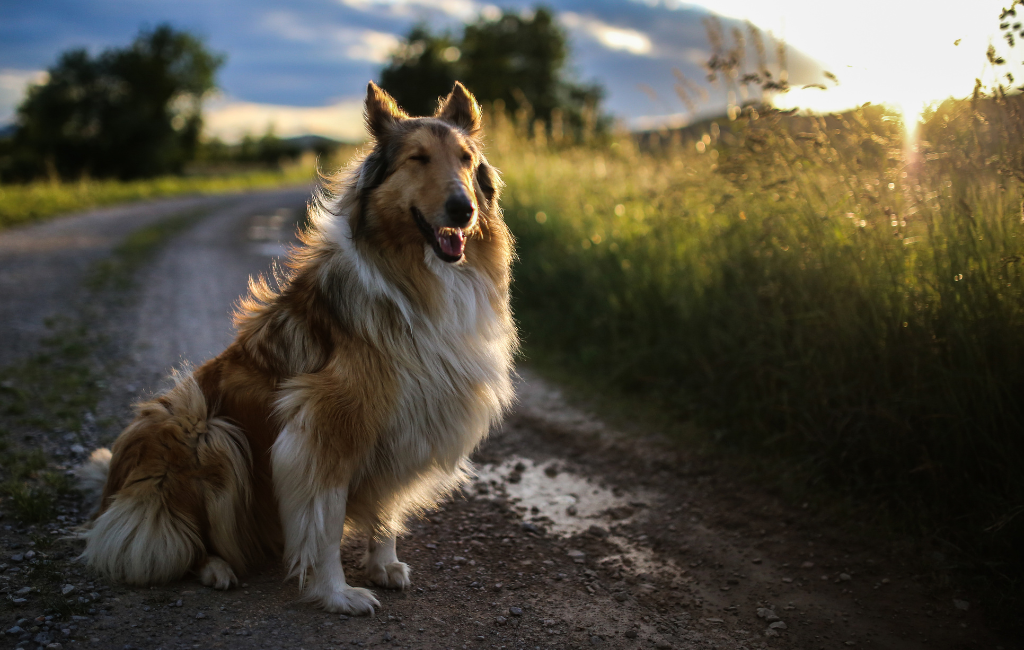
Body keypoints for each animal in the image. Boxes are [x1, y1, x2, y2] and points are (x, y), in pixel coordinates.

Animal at [74, 81, 516, 614]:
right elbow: (323, 520)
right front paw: (337, 593)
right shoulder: (324, 428)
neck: (418, 275)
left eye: (467, 160)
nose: (462, 210)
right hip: (199, 424)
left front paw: (384, 563)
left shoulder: (402, 420)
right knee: (180, 538)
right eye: (418, 158)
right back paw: (217, 568)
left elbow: (385, 505)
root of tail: (112, 494)